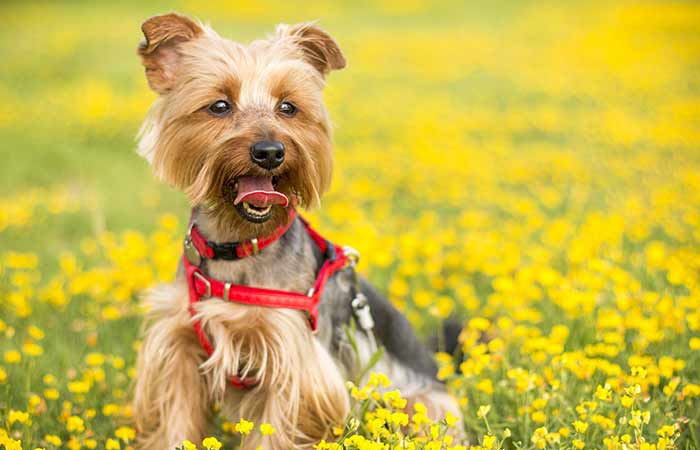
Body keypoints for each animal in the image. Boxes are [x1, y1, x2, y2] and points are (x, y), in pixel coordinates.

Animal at [132, 12, 462, 448]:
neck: (240, 245)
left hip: (416, 401)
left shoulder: (293, 358)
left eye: (288, 107)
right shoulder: (179, 347)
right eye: (219, 106)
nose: (270, 151)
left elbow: (274, 428)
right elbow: (177, 419)